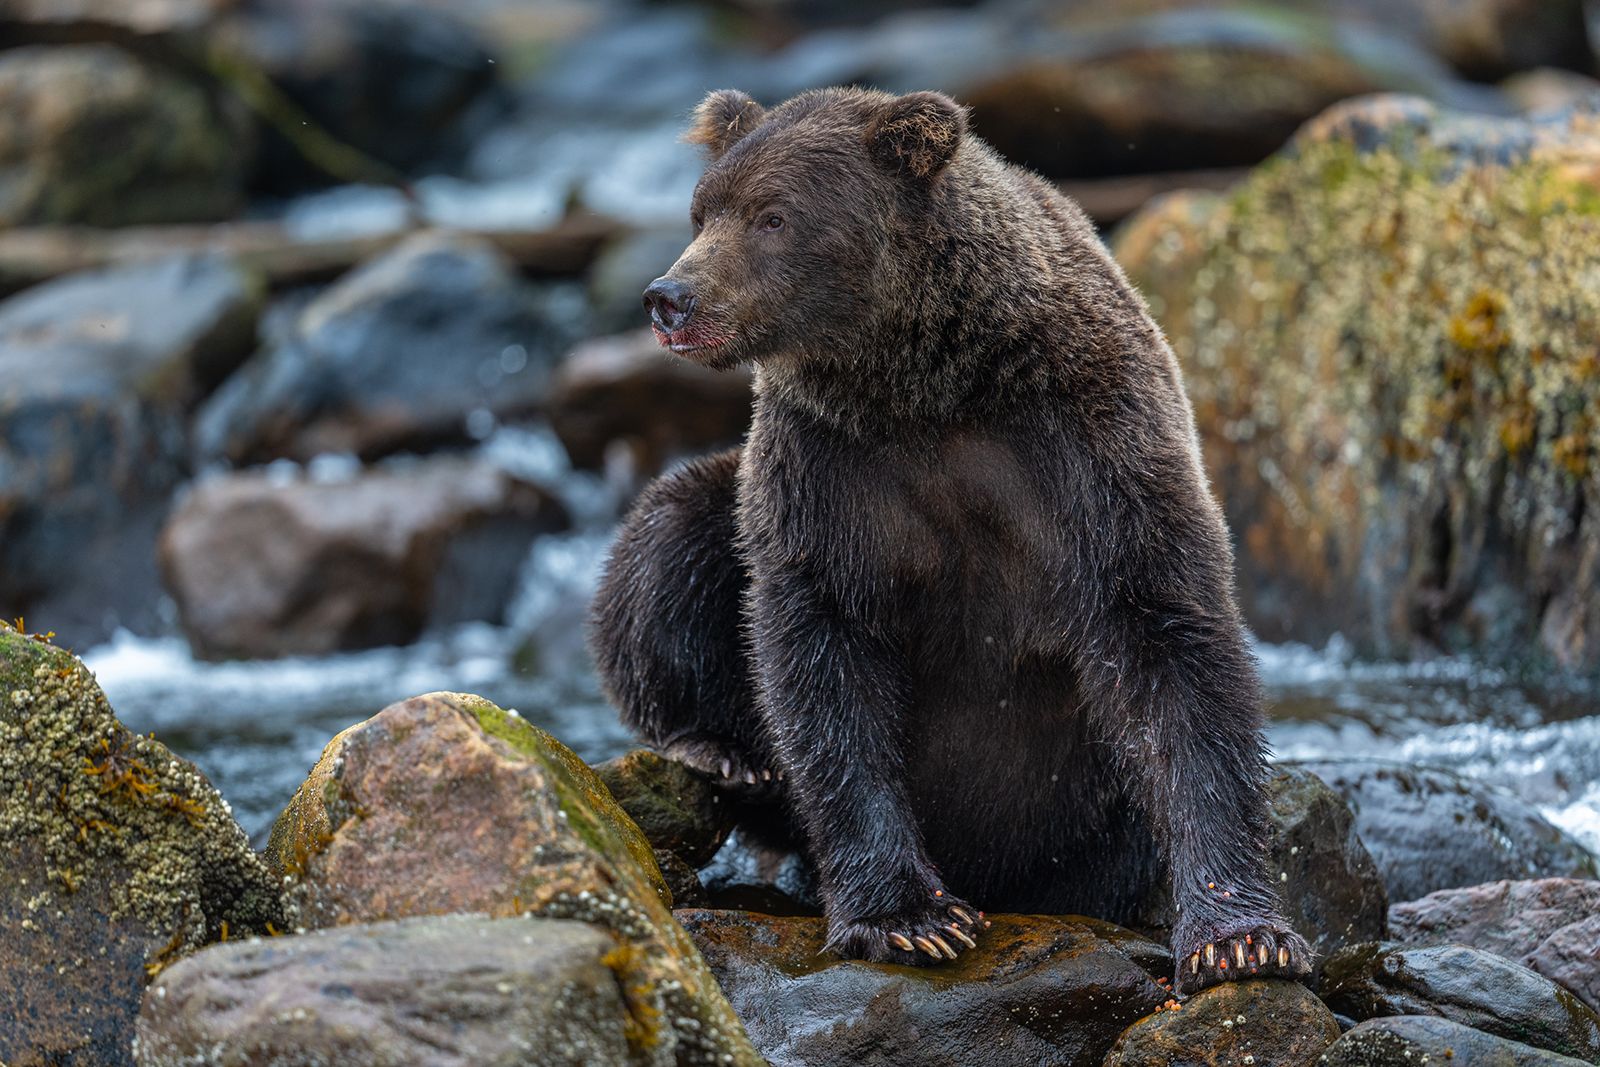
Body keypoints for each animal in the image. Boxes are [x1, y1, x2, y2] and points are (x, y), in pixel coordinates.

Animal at [589, 85, 1313, 995]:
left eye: (773, 215)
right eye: (700, 210)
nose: (670, 297)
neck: (925, 384)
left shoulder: (1090, 448)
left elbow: (1168, 645)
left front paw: (1241, 936)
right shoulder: (829, 474)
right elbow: (823, 654)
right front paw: (909, 916)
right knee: (672, 534)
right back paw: (718, 751)